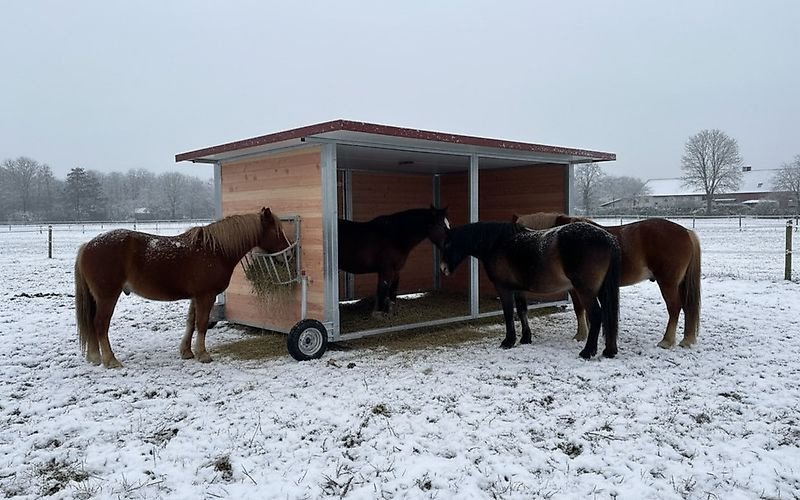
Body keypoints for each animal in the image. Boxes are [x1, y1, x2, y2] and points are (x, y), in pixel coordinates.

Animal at [74, 207, 291, 368]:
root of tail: (88, 245)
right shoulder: (206, 296)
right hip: (108, 296)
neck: (215, 251)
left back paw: (95, 357)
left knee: (93, 324)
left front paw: (186, 351)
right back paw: (110, 360)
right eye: (277, 231)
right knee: (100, 324)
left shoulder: (196, 296)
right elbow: (201, 324)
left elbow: (190, 322)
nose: (288, 255)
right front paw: (203, 354)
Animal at [439, 221, 621, 359]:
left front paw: (508, 341)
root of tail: (608, 238)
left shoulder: (504, 288)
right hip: (601, 290)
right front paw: (526, 338)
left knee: (596, 315)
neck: (498, 243)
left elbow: (508, 313)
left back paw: (587, 352)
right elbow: (522, 311)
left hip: (585, 291)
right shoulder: (519, 290)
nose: (443, 268)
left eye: (448, 244)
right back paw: (609, 351)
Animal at [514, 213, 701, 349]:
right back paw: (686, 340)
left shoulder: (576, 289)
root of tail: (686, 232)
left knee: (674, 308)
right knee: (687, 308)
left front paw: (581, 335)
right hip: (679, 284)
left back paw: (667, 341)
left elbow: (579, 309)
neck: (555, 239)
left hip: (668, 283)